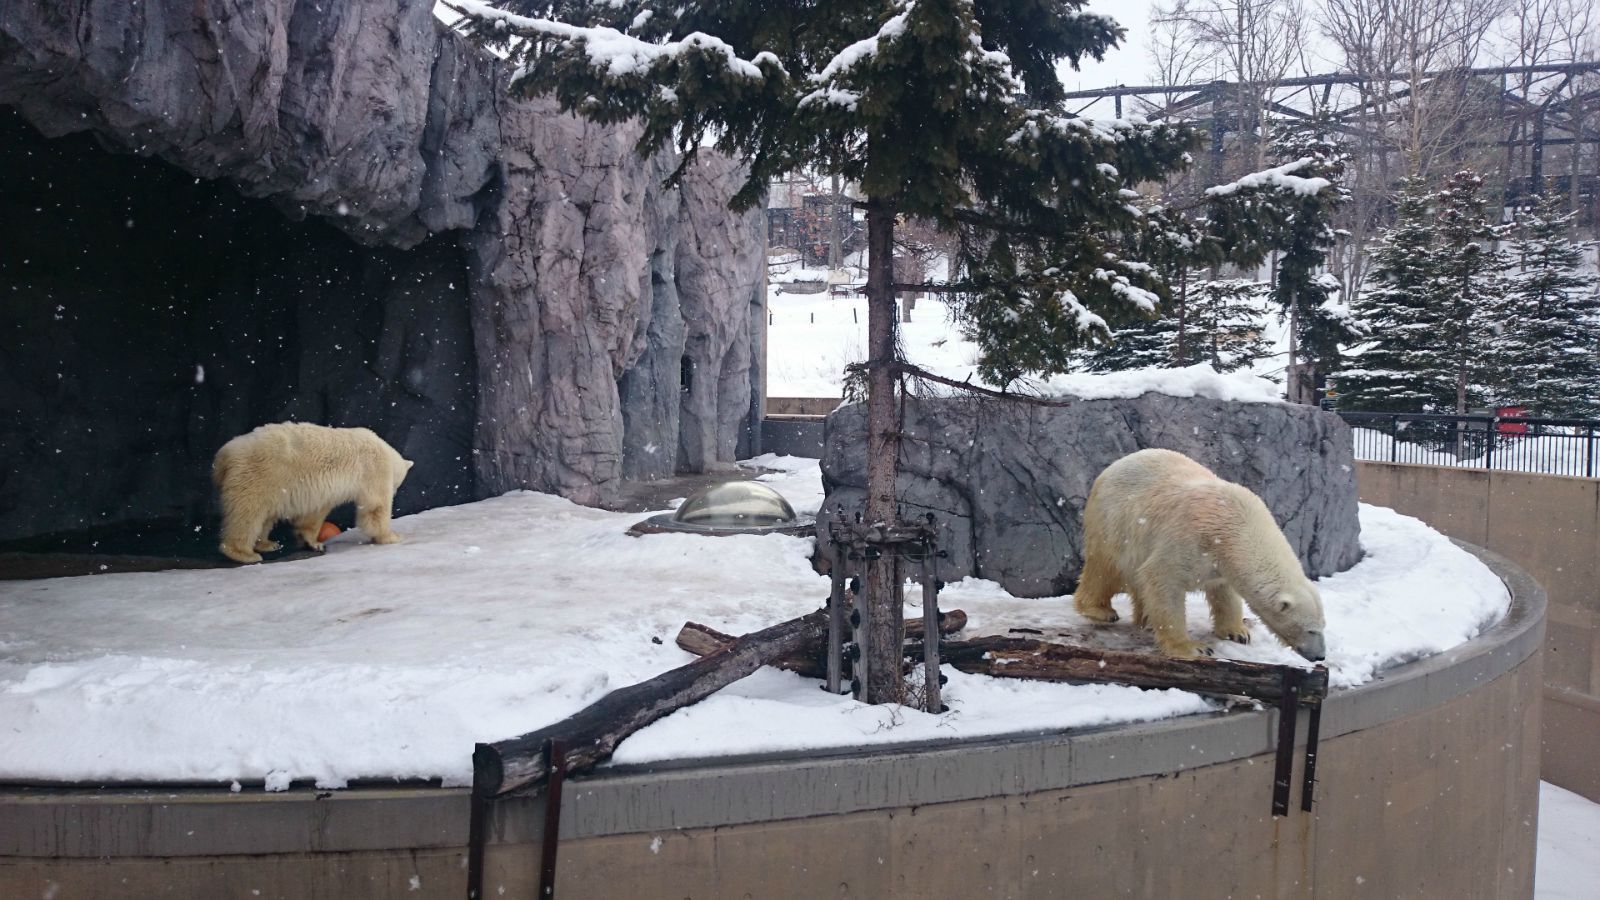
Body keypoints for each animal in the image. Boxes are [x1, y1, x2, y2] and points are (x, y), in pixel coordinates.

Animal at [211, 419, 412, 560]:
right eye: (397, 483)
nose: (395, 491)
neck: (384, 449)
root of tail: (223, 456)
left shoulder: (322, 493)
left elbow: (314, 514)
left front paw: (314, 543)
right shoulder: (373, 468)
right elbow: (375, 507)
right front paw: (392, 536)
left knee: (265, 516)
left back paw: (267, 543)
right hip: (259, 475)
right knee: (247, 513)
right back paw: (244, 553)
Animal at [1075, 441, 1324, 659]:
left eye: (1323, 626)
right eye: (1311, 630)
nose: (1319, 656)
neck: (1237, 524)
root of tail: (1111, 468)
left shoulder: (1221, 560)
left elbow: (1224, 591)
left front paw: (1238, 632)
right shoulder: (1189, 539)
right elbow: (1163, 579)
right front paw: (1192, 647)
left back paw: (1145, 619)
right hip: (1114, 523)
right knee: (1106, 569)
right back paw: (1100, 610)